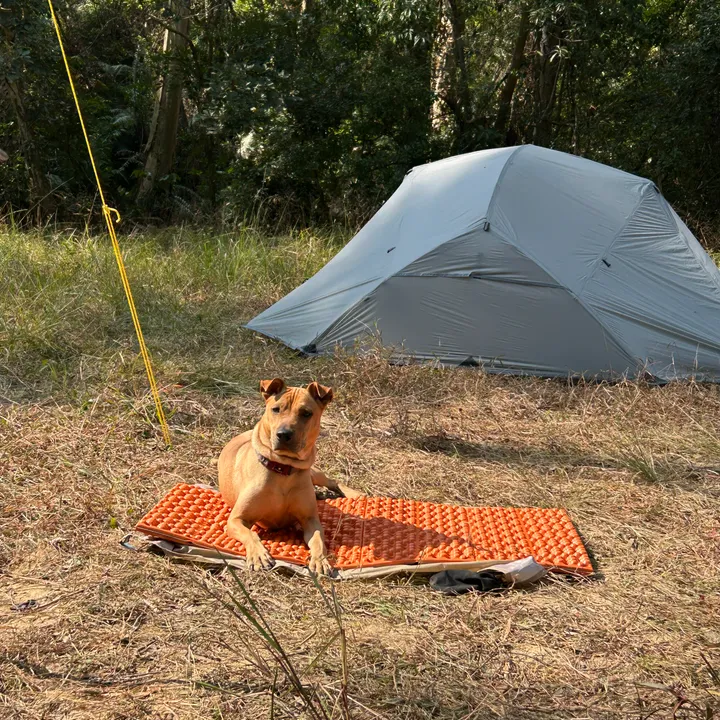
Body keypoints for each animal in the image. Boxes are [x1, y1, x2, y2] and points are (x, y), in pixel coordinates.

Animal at [218, 378, 363, 575]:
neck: (283, 469)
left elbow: (318, 540)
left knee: (332, 480)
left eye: (306, 413)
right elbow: (251, 534)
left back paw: (354, 494)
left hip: (313, 471)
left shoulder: (310, 520)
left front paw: (320, 560)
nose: (283, 434)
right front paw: (259, 555)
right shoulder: (236, 520)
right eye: (276, 409)